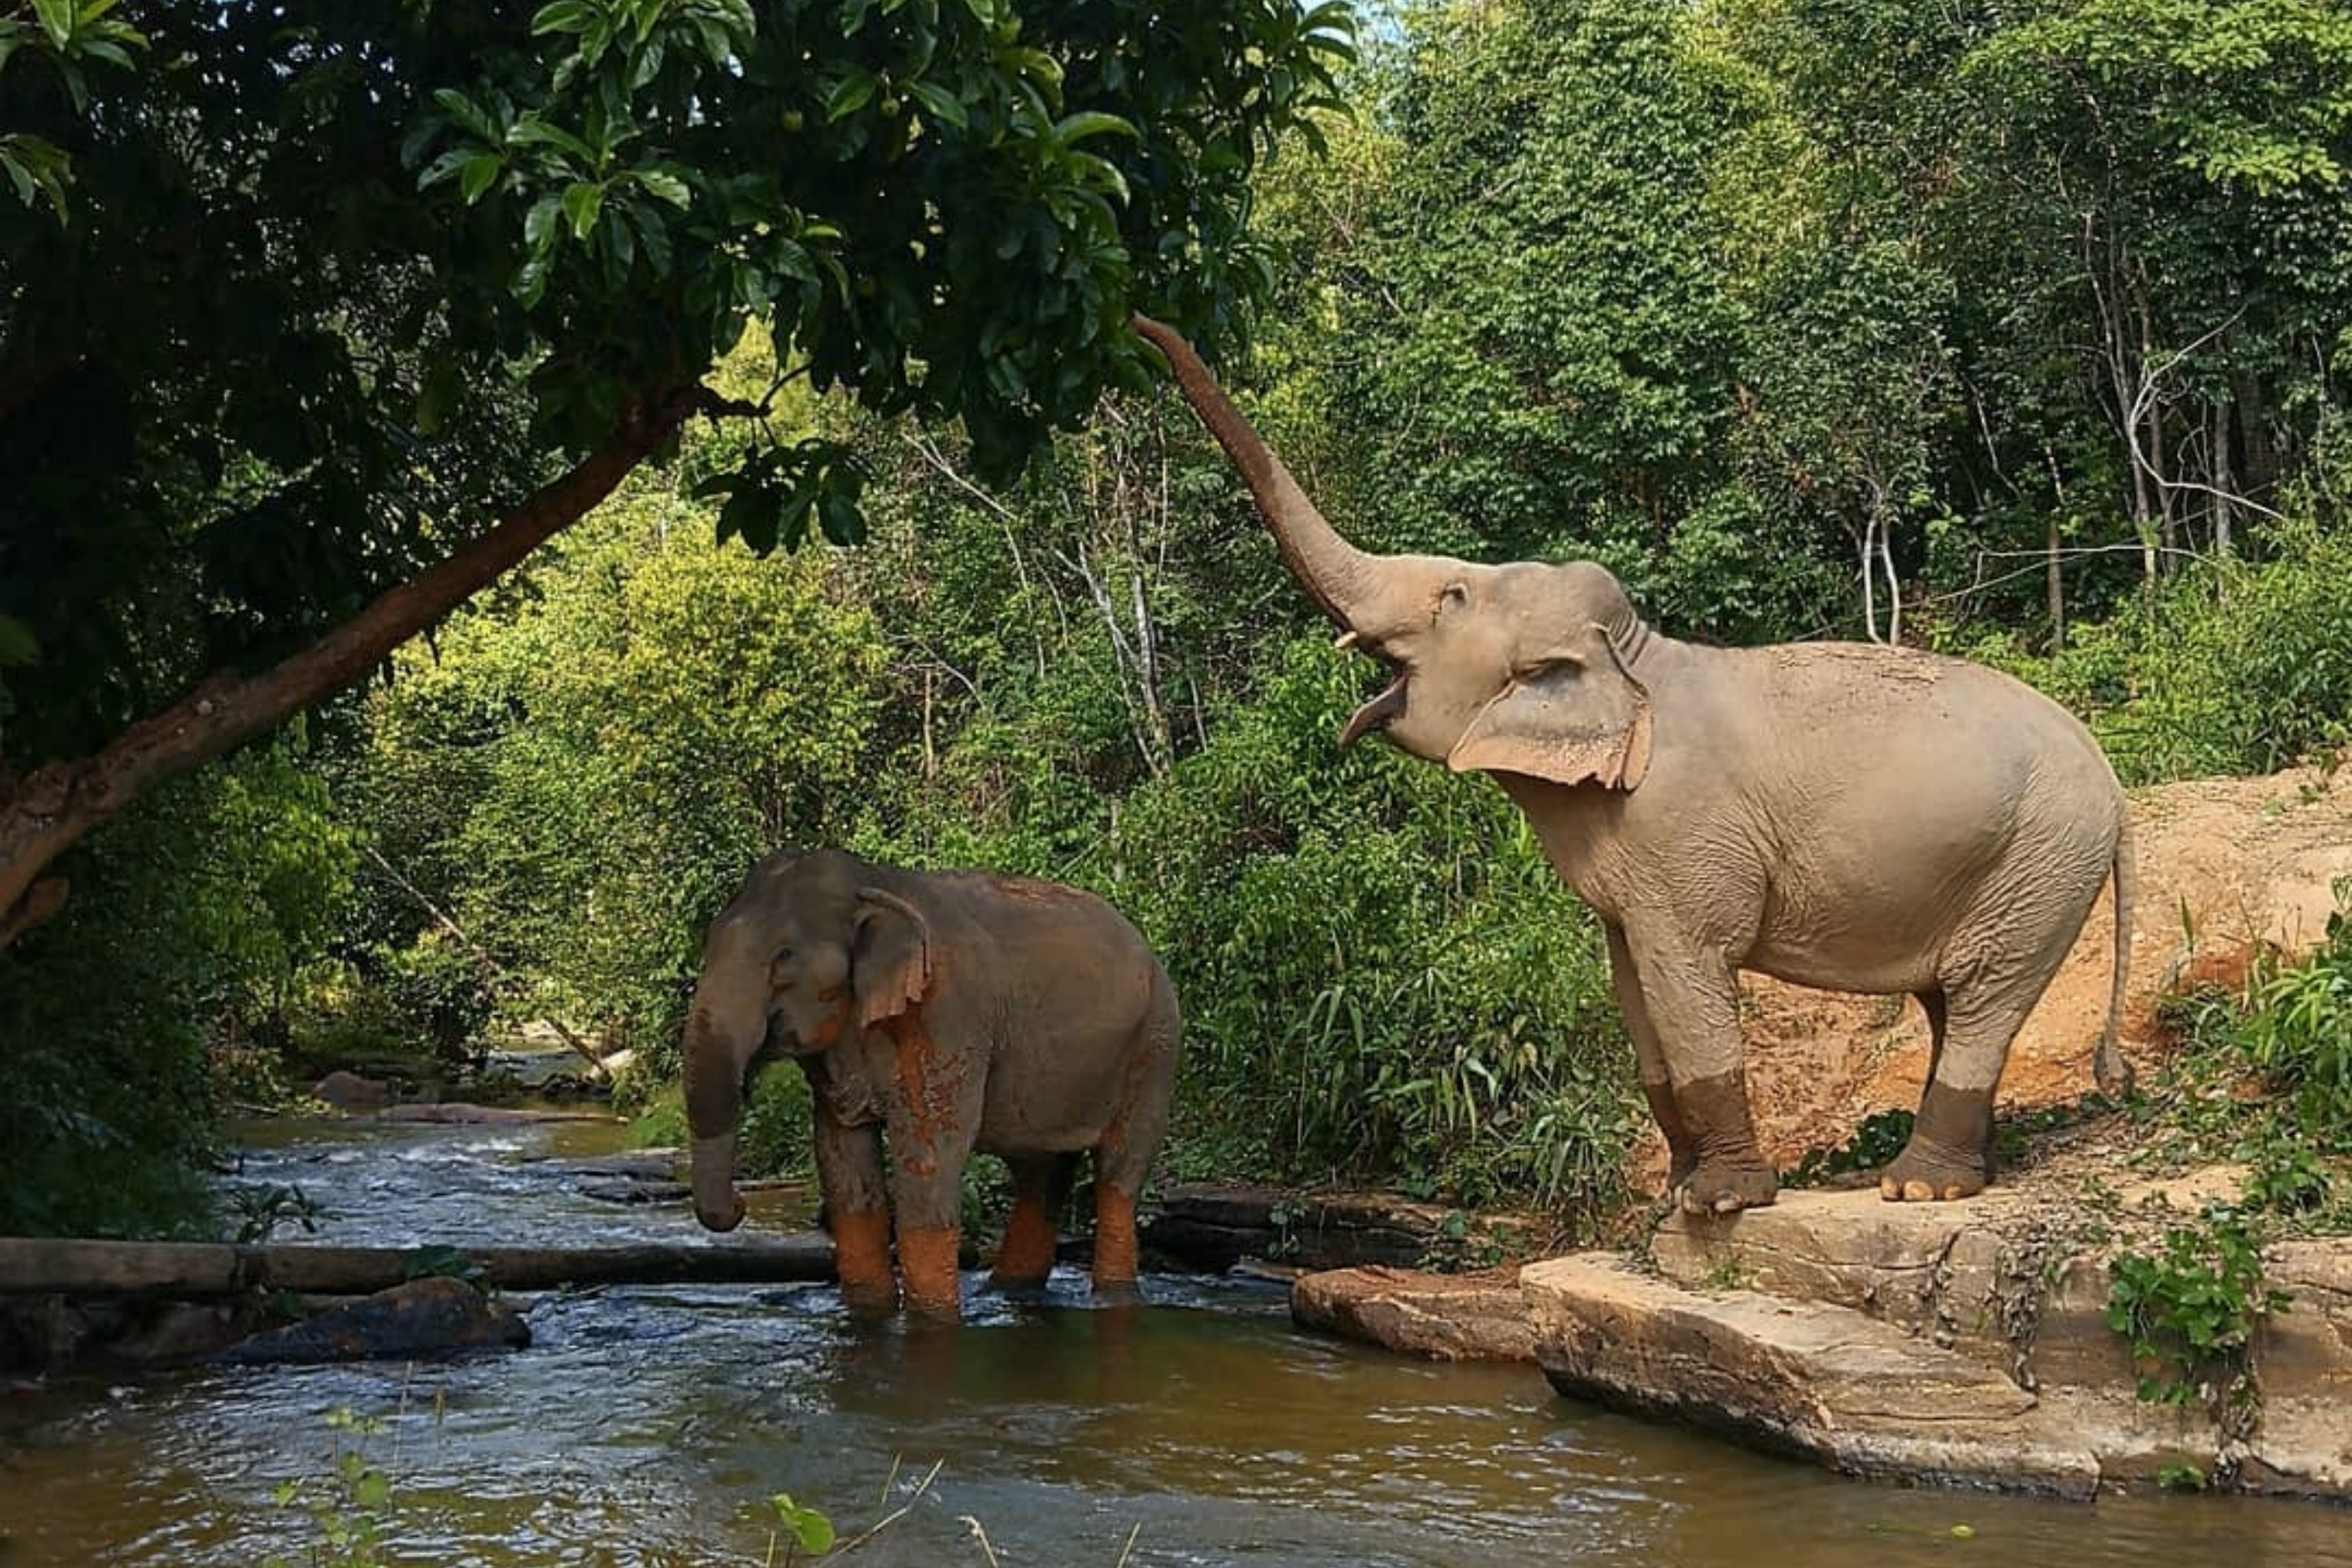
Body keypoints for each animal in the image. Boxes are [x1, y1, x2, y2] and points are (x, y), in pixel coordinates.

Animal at [684, 849, 1182, 1315]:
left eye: (783, 958)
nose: (740, 1205)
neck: (875, 882)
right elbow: (842, 1155)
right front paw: (870, 1311)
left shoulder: (947, 1015)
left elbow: (929, 1153)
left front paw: (932, 1320)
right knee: (1040, 1173)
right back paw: (1008, 1292)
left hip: (1154, 1045)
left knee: (1118, 1173)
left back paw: (1113, 1296)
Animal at [1131, 314, 2132, 1214]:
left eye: (1452, 596)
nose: (1144, 322)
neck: (1635, 657)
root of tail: (2115, 787)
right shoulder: (1629, 873)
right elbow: (1633, 989)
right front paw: (1676, 1196)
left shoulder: (1684, 838)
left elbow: (1690, 978)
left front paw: (1717, 1204)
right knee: (1949, 1001)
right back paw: (1955, 1176)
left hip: (2041, 862)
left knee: (1984, 998)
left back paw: (1916, 1187)